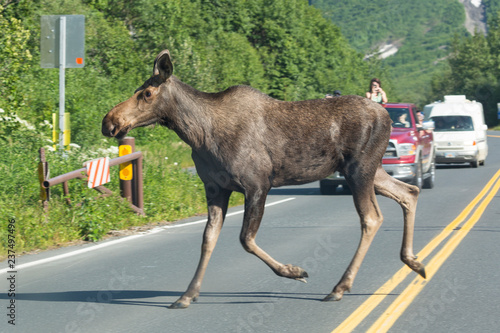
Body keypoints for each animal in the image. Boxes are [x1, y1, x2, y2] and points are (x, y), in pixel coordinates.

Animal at [102, 49, 426, 308]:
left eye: (146, 93)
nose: (109, 121)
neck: (198, 135)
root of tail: (386, 116)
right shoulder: (215, 188)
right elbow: (208, 240)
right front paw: (187, 295)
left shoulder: (257, 183)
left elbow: (245, 239)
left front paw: (294, 272)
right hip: (371, 170)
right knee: (409, 191)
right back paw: (413, 261)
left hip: (359, 169)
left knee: (372, 217)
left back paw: (340, 287)